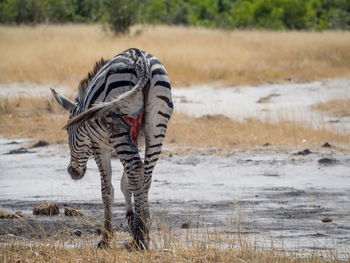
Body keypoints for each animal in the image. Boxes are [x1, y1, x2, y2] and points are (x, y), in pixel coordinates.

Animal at [50, 48, 174, 251]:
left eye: (68, 130)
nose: (72, 172)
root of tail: (141, 59)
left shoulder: (98, 146)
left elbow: (107, 190)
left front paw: (106, 237)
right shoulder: (136, 140)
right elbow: (127, 183)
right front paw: (131, 220)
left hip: (118, 125)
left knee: (135, 169)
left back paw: (140, 235)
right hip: (157, 124)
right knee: (144, 174)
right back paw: (143, 231)